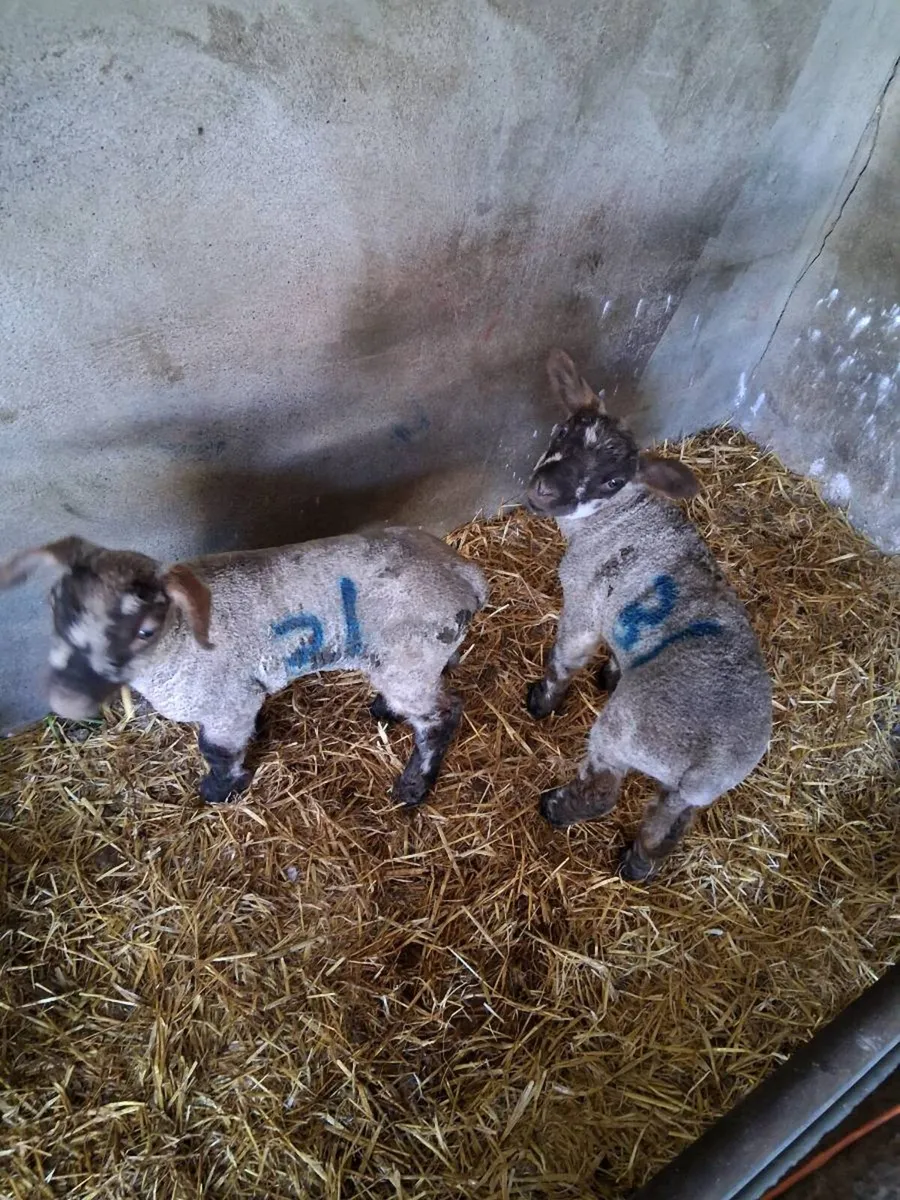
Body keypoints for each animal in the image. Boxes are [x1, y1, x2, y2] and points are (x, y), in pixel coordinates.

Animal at [0, 529, 487, 806]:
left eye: (144, 630)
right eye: (54, 605)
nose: (67, 698)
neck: (179, 642)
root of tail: (463, 573)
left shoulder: (226, 703)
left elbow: (216, 751)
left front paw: (219, 791)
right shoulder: (242, 696)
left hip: (409, 657)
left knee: (441, 716)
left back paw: (413, 787)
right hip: (417, 655)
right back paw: (387, 709)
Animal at [523, 350, 772, 881]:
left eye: (613, 480)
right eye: (563, 431)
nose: (545, 490)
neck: (620, 516)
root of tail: (710, 763)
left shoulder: (585, 601)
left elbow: (566, 657)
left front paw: (542, 700)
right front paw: (611, 673)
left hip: (625, 733)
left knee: (603, 789)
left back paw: (555, 807)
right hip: (692, 793)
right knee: (669, 822)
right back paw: (637, 865)